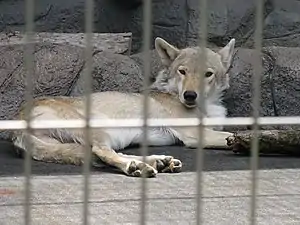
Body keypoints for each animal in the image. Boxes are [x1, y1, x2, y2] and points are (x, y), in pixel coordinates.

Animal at [11, 37, 236, 178]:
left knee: (104, 154)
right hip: (100, 130)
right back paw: (137, 167)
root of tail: (18, 120)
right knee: (102, 153)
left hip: (112, 138)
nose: (189, 95)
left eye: (208, 74)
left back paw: (158, 162)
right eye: (183, 72)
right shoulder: (196, 135)